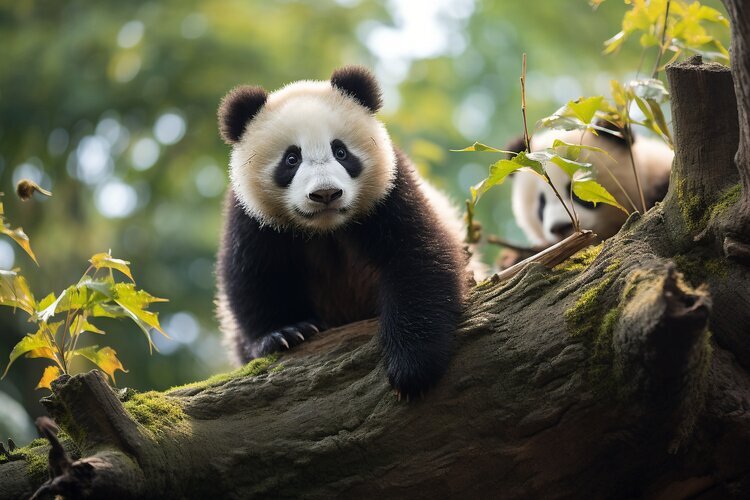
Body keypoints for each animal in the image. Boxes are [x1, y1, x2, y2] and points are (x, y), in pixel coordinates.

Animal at [215, 66, 475, 398]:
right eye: (291, 159)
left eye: (340, 151)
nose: (325, 193)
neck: (326, 230)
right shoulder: (252, 218)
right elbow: (254, 275)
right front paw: (285, 333)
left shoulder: (390, 192)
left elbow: (418, 255)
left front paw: (411, 368)